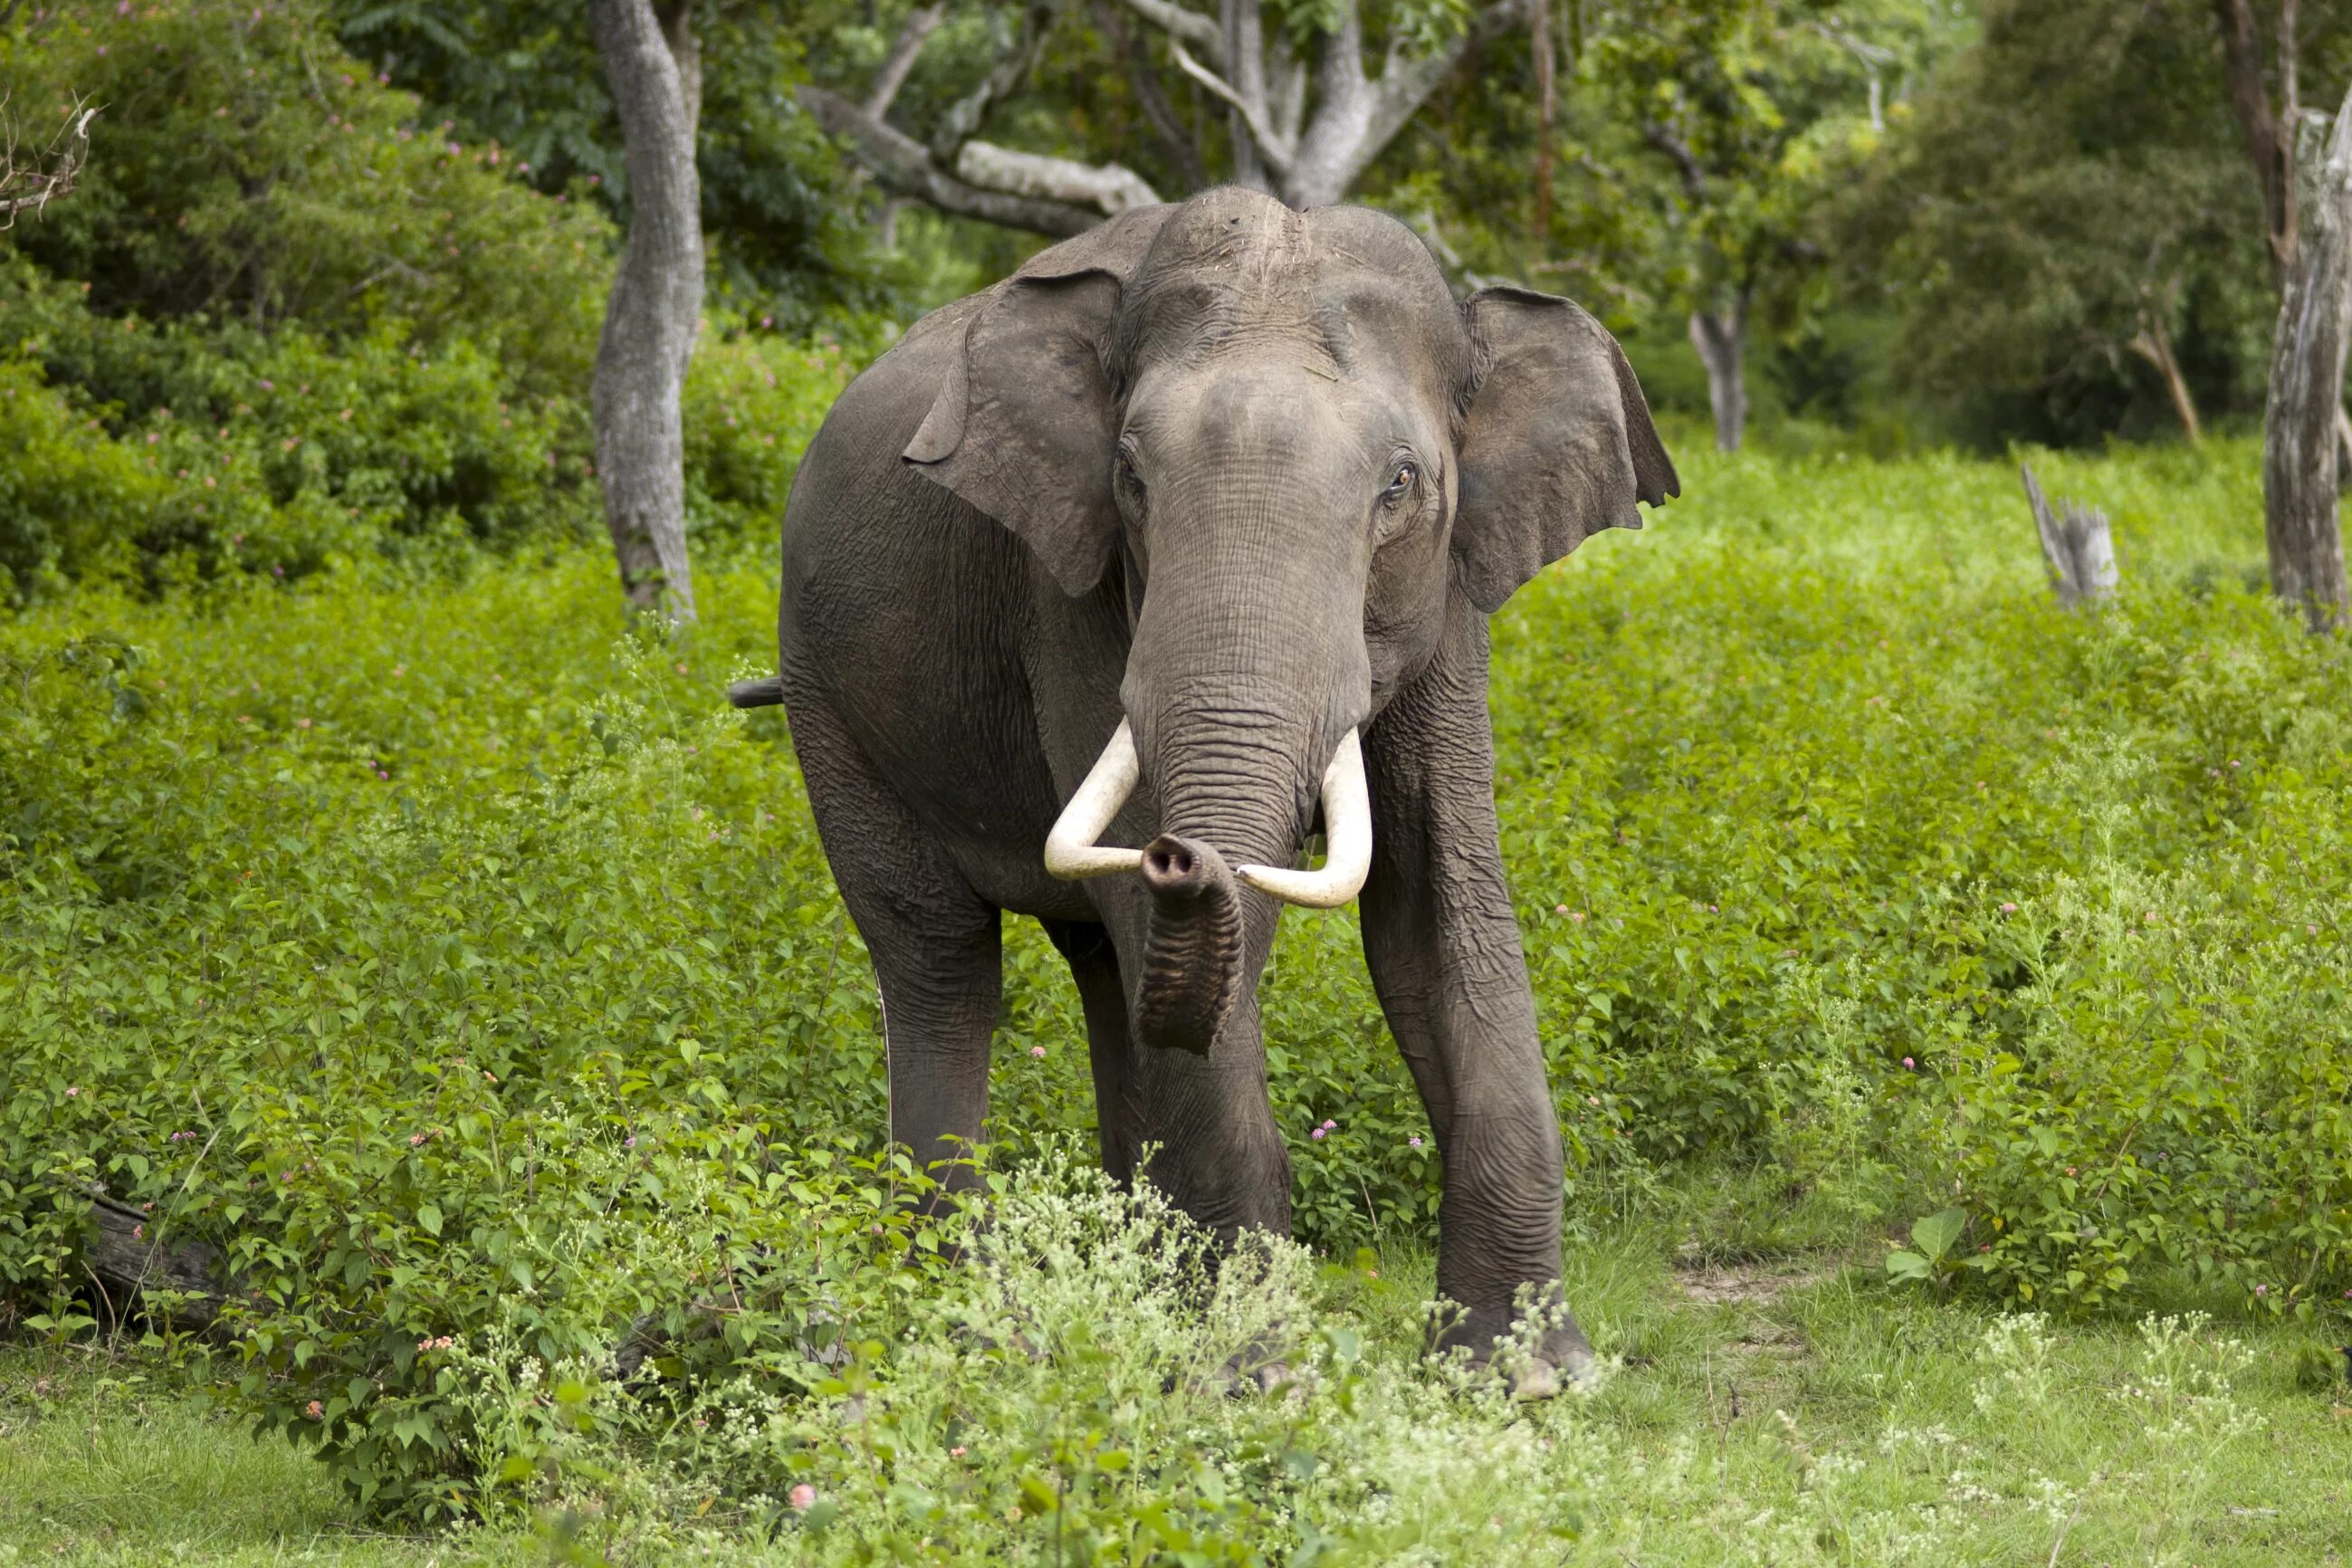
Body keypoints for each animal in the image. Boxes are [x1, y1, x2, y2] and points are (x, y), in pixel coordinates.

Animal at [733, 184, 1674, 1382]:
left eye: (1401, 484)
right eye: (1131, 477)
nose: (1184, 854)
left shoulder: (1452, 594)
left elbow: (1434, 911)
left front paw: (1531, 1378)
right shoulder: (1069, 590)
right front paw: (1254, 1374)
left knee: (1101, 968)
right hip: (827, 697)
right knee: (942, 960)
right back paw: (966, 1316)